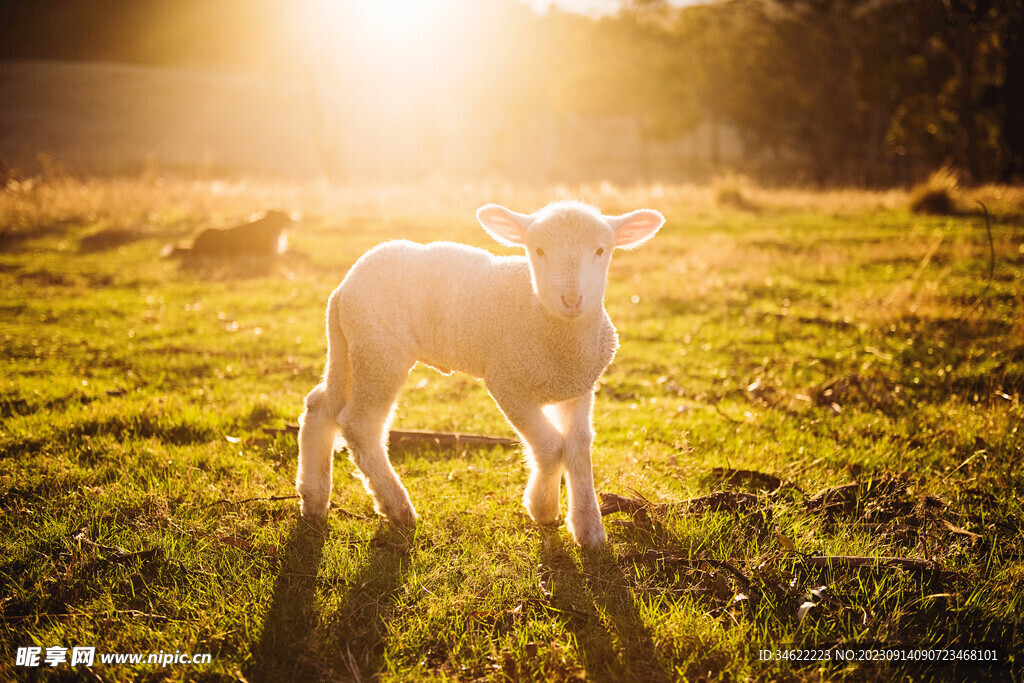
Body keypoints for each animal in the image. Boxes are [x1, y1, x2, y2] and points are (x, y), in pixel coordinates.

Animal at [296, 200, 663, 548]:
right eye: (538, 250)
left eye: (601, 250)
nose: (572, 299)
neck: (547, 324)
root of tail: (344, 286)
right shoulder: (506, 382)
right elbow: (549, 446)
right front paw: (543, 507)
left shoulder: (579, 386)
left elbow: (578, 445)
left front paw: (589, 529)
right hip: (380, 352)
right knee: (360, 424)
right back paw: (397, 508)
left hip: (348, 347)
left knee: (320, 406)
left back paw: (313, 499)